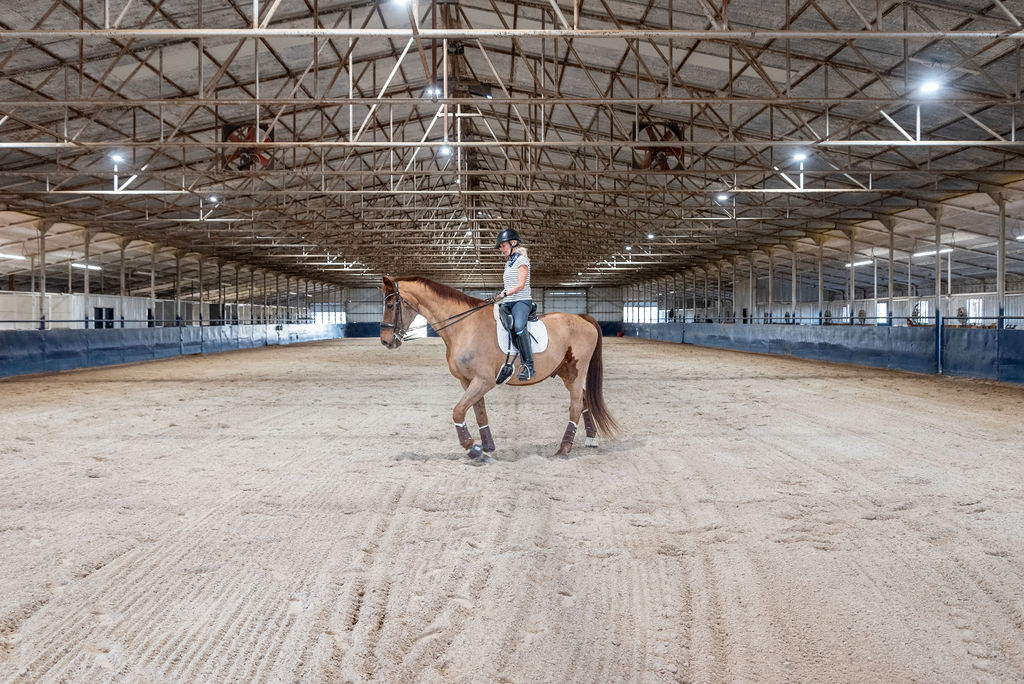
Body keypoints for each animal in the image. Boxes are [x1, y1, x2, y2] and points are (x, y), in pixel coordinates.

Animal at [380, 274, 618, 458]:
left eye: (390, 305)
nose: (385, 341)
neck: (465, 327)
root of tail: (582, 318)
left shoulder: (483, 381)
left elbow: (458, 412)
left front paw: (471, 448)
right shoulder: (468, 381)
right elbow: (479, 413)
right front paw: (486, 447)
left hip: (576, 372)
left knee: (576, 405)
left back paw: (564, 448)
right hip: (566, 373)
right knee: (584, 400)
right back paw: (590, 439)